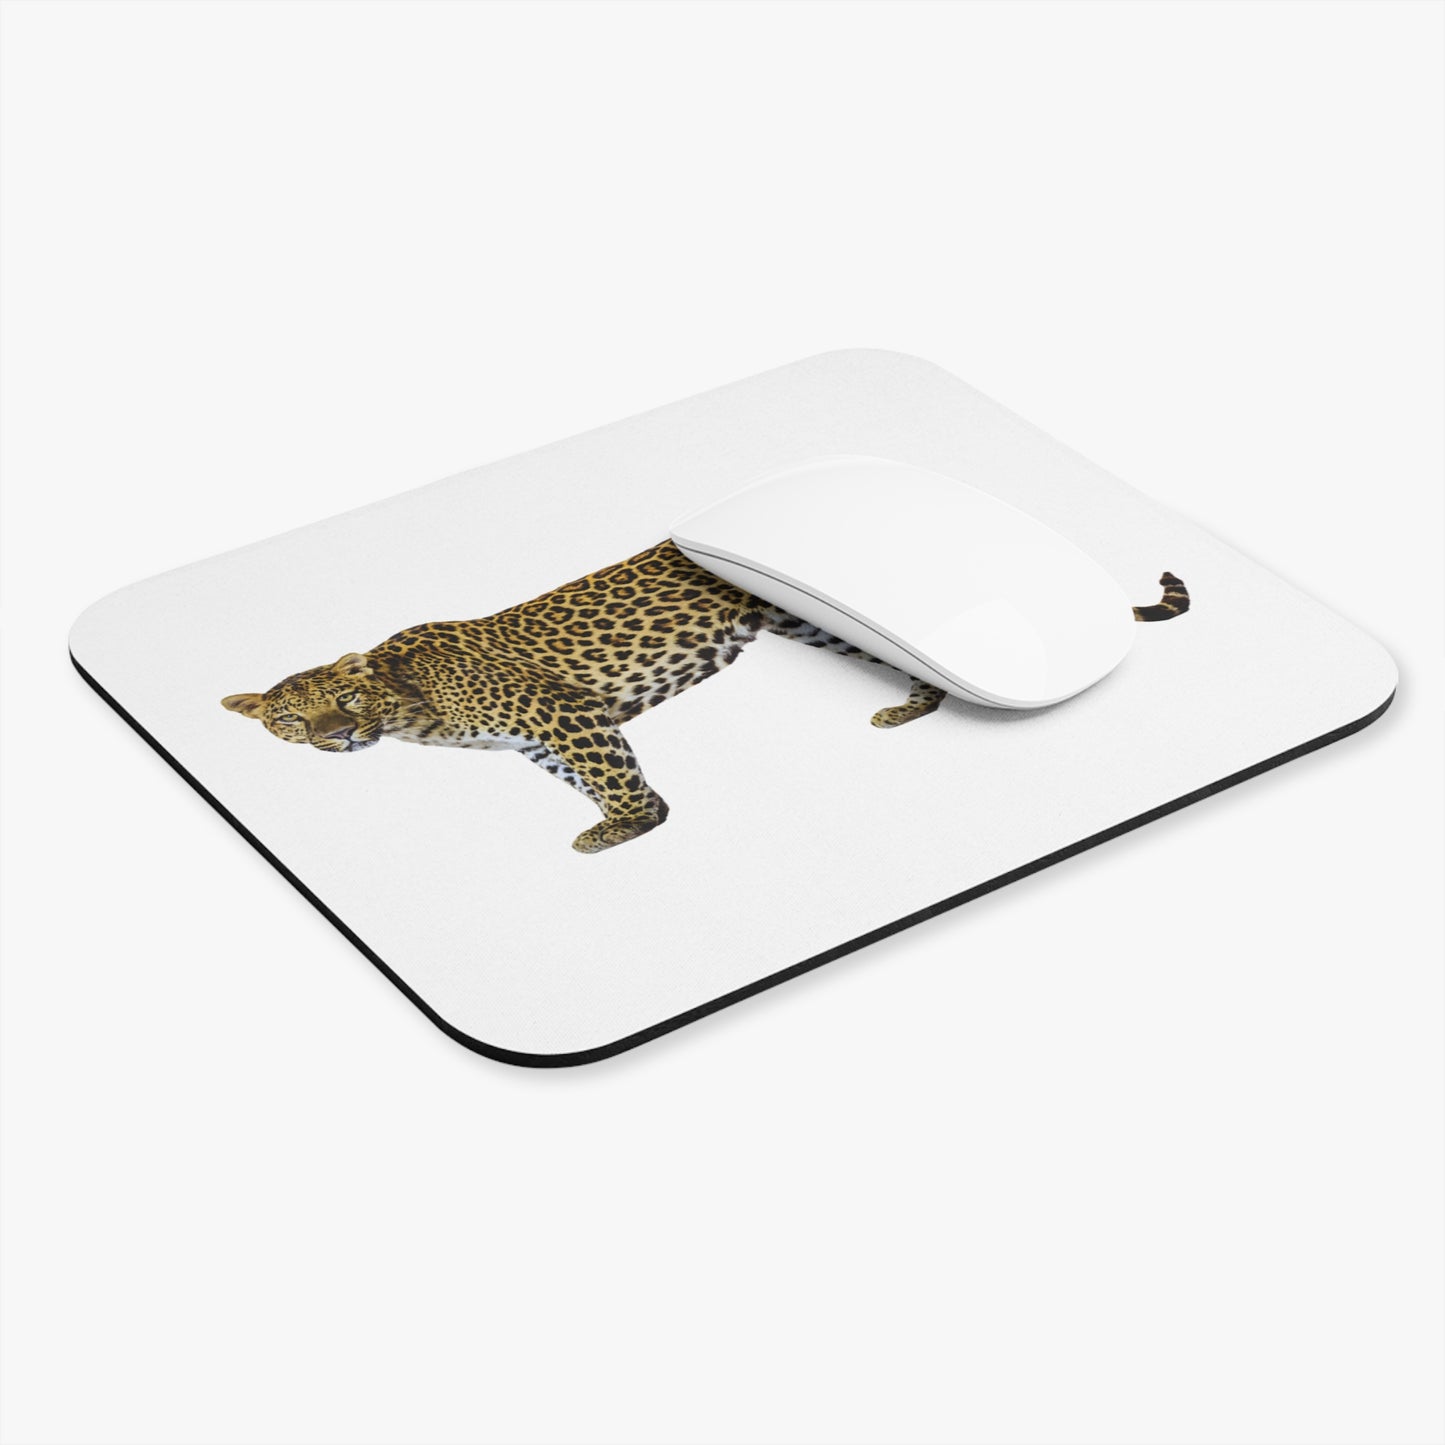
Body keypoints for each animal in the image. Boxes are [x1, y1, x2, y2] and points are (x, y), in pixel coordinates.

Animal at [222, 540, 1189, 853]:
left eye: (344, 700)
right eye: (290, 719)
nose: (332, 737)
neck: (410, 705)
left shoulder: (558, 714)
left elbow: (607, 772)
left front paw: (625, 825)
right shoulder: (539, 738)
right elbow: (591, 774)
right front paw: (640, 818)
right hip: (816, 623)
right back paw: (909, 704)